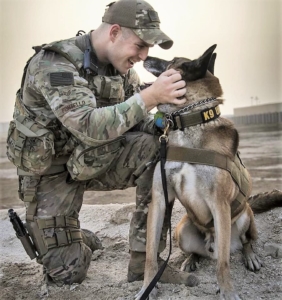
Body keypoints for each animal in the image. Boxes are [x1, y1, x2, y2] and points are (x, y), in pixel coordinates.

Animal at [135, 45, 262, 300]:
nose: (145, 56)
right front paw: (146, 287)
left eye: (172, 61)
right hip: (182, 231)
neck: (189, 123)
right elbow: (150, 256)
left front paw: (227, 291)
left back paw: (250, 255)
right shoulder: (159, 201)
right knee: (200, 252)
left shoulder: (220, 205)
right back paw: (190, 260)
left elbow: (223, 264)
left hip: (245, 216)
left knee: (242, 244)